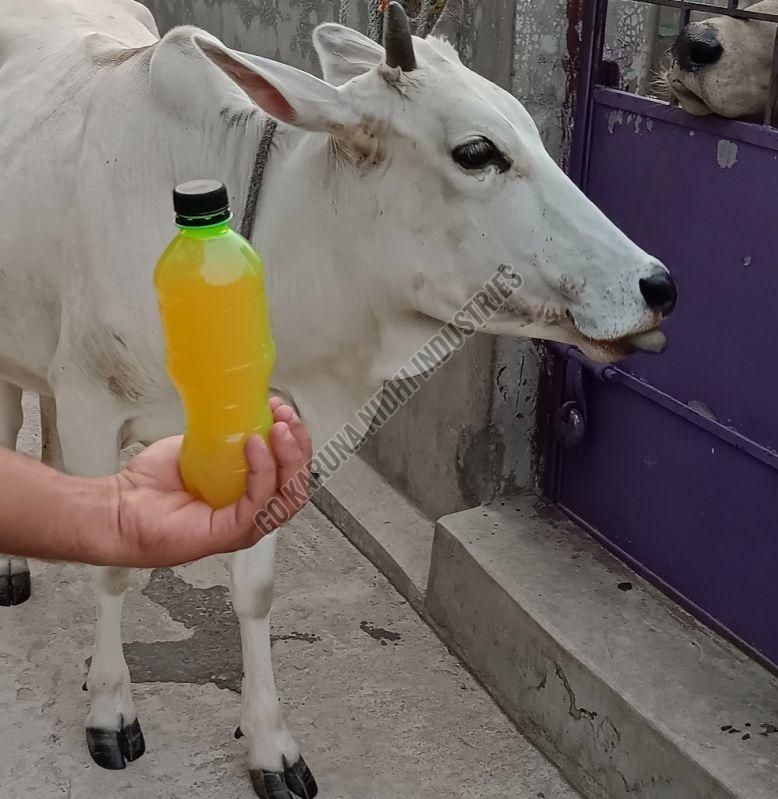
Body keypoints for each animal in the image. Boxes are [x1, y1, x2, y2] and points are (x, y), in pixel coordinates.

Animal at [0, 0, 677, 796]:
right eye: (478, 152)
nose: (657, 286)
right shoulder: (92, 403)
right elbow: (113, 567)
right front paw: (110, 711)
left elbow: (255, 587)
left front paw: (271, 744)